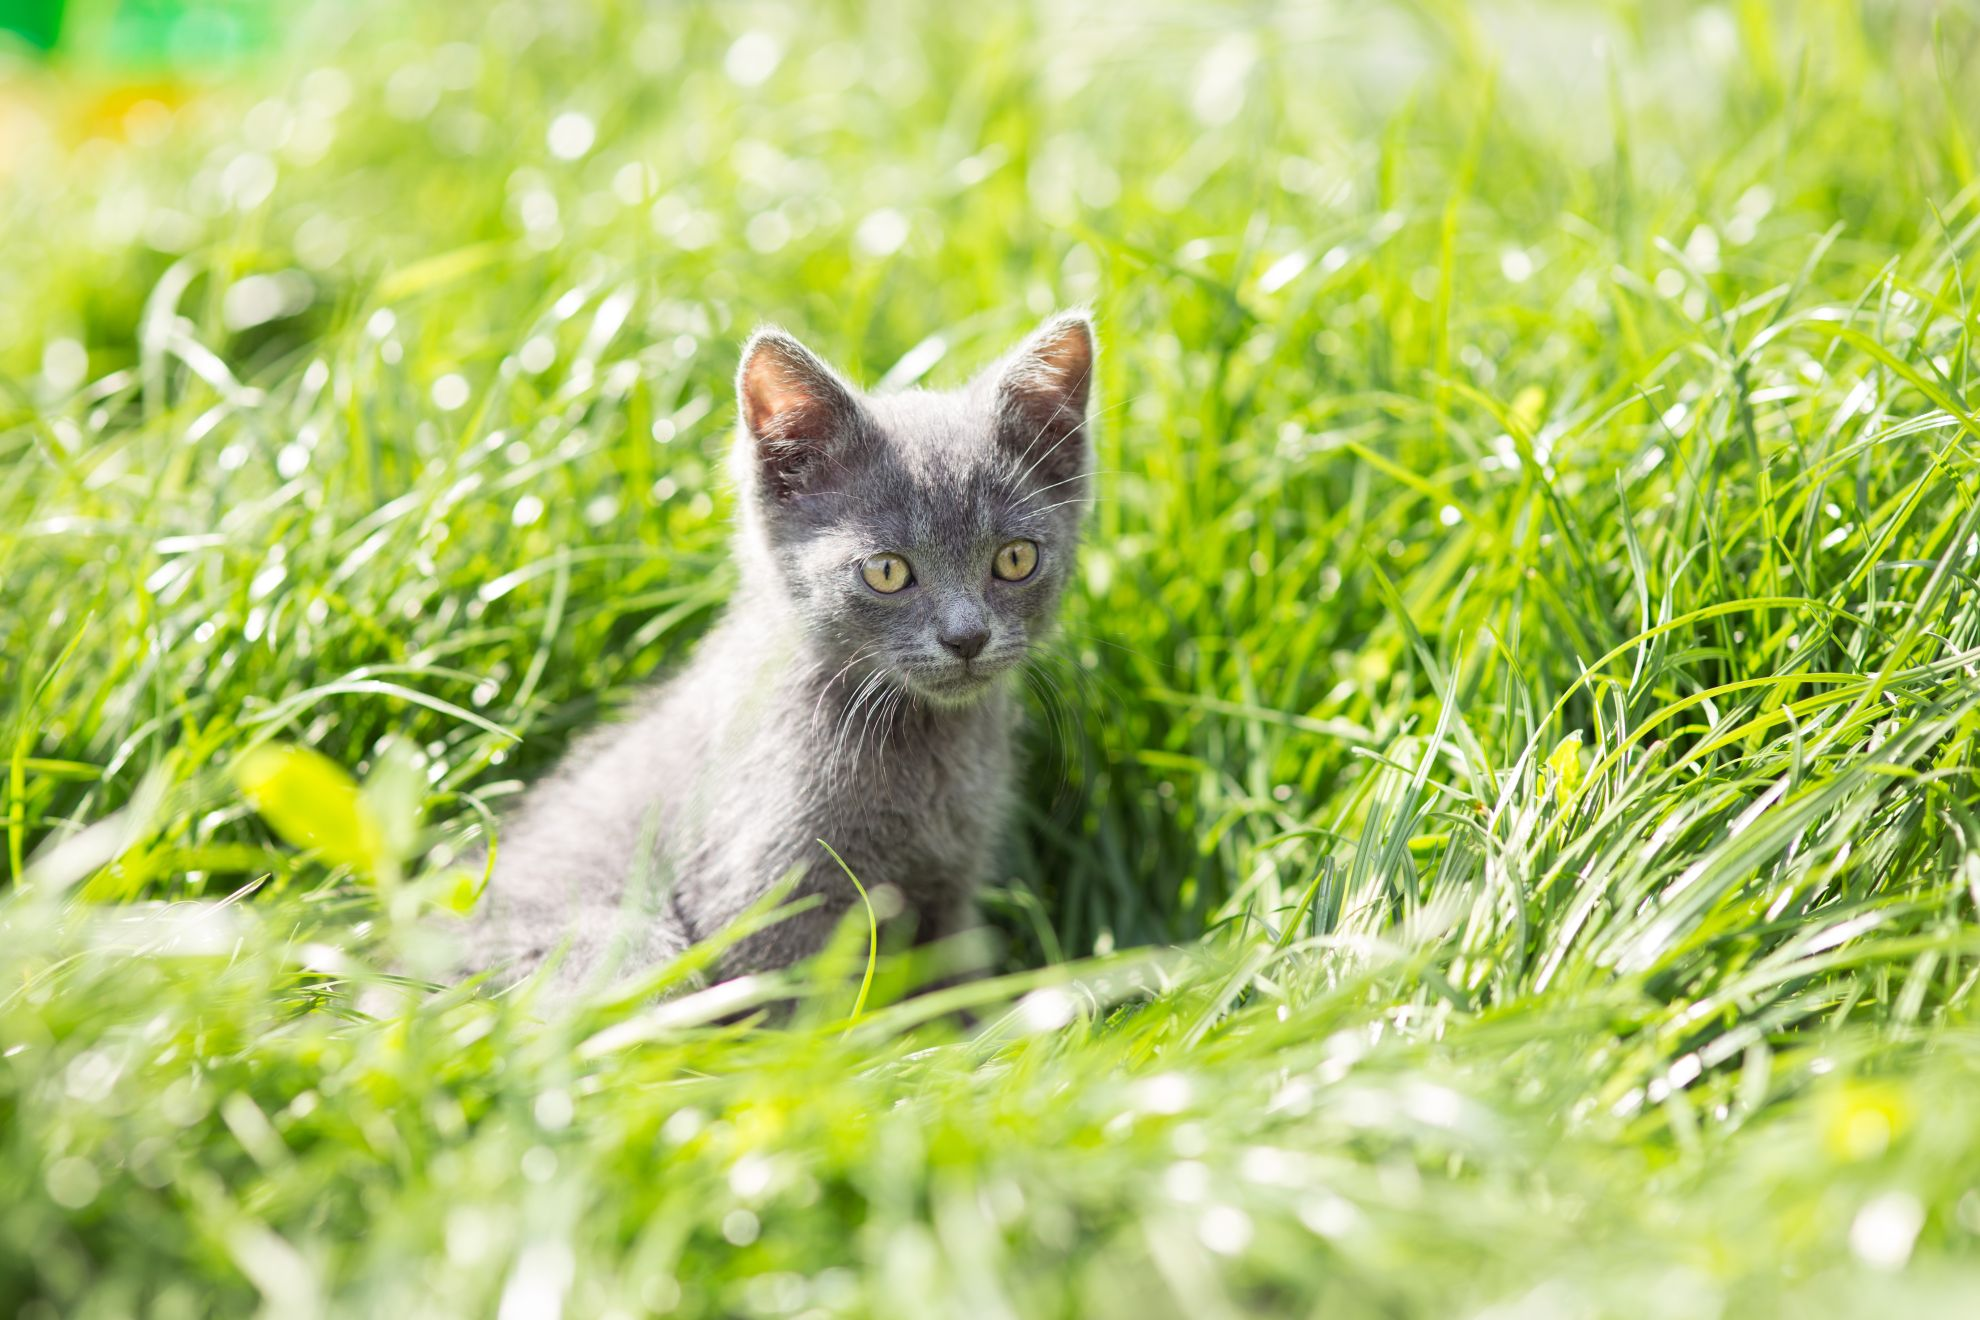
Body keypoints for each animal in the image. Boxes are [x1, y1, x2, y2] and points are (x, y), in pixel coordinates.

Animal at [467, 310, 1100, 989]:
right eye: (886, 571)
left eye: (1016, 558)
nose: (967, 637)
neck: (920, 745)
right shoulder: (764, 895)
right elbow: (795, 1002)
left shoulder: (949, 886)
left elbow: (952, 984)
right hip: (620, 940)